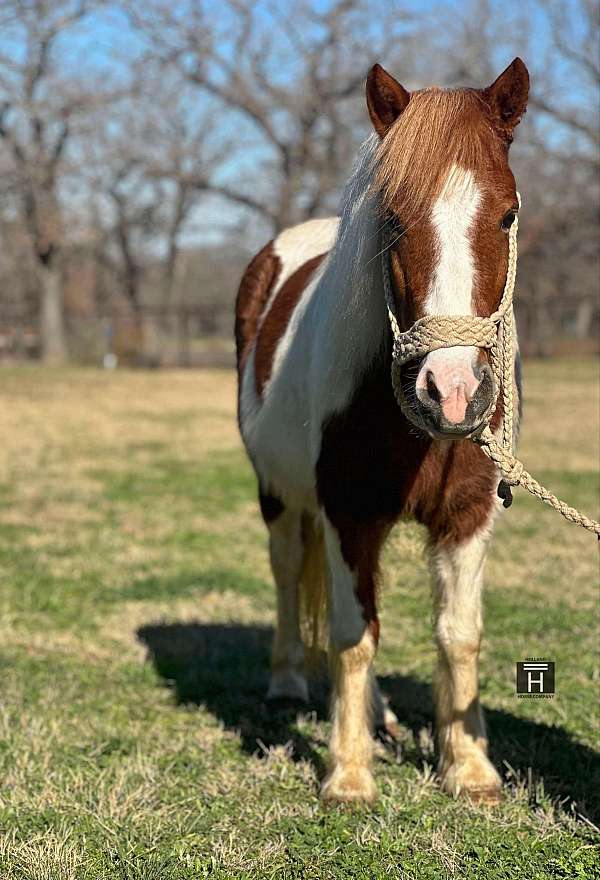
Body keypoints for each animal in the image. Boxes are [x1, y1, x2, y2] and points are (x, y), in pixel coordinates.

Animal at [234, 58, 528, 804]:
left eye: (506, 214)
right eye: (392, 220)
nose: (452, 391)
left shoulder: (467, 516)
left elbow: (458, 634)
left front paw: (469, 768)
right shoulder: (348, 514)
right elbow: (351, 637)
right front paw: (347, 774)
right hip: (278, 494)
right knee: (288, 573)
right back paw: (288, 682)